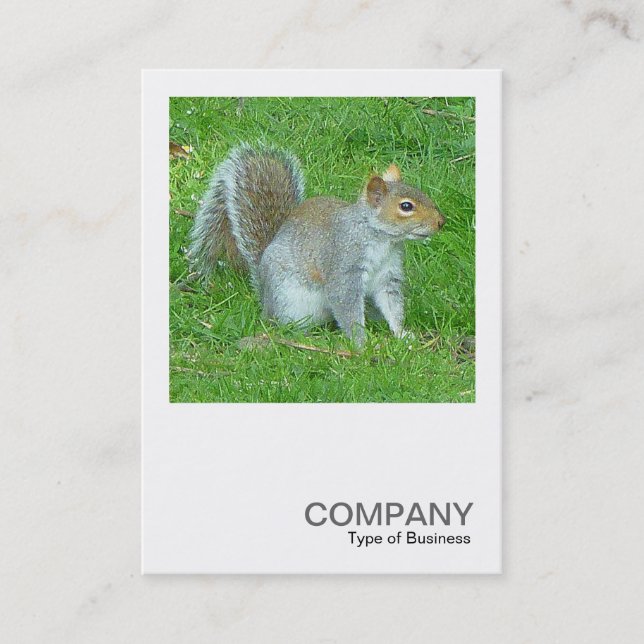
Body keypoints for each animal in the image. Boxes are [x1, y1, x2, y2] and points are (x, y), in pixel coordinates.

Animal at [188, 143, 445, 347]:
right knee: (285, 324)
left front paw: (402, 334)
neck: (382, 239)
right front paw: (362, 344)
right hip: (289, 301)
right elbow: (347, 306)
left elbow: (392, 305)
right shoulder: (344, 264)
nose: (441, 222)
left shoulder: (388, 275)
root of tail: (264, 297)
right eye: (406, 206)